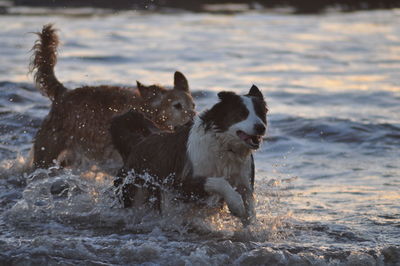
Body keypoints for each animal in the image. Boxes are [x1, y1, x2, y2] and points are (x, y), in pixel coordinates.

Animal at [29, 25, 195, 170]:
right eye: (177, 106)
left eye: (193, 106)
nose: (193, 120)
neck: (147, 113)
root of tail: (63, 93)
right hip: (46, 153)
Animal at [111, 84, 268, 224]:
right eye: (242, 113)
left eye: (261, 113)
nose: (261, 127)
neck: (225, 147)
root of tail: (140, 143)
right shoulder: (179, 183)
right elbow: (218, 181)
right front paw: (236, 204)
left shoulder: (245, 182)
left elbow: (249, 210)